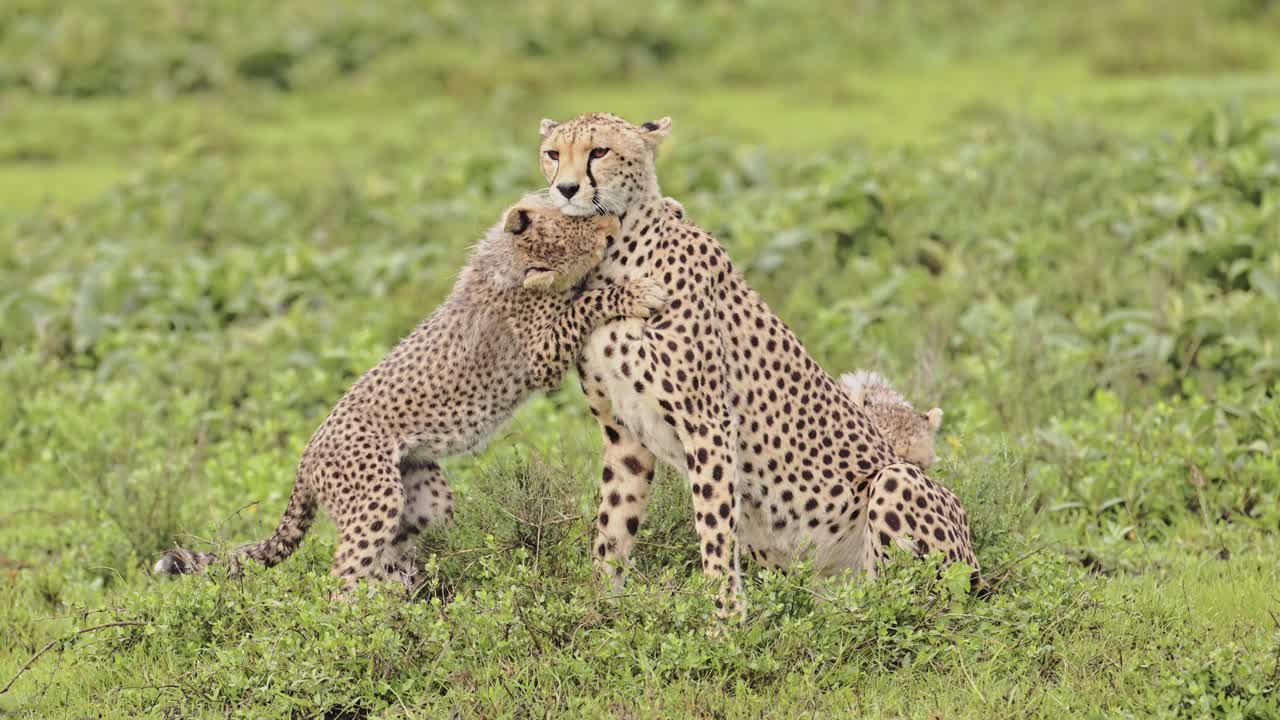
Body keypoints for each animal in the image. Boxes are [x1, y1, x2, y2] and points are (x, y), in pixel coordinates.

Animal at [154, 195, 667, 589]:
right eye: (587, 232)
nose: (612, 222)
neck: (509, 264)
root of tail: (306, 455)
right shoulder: (540, 357)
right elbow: (585, 303)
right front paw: (635, 292)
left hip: (424, 496)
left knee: (392, 551)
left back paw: (409, 598)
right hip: (373, 498)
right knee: (343, 574)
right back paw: (357, 625)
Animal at [536, 112, 978, 617]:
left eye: (599, 152)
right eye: (552, 154)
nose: (566, 189)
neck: (615, 259)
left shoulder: (708, 422)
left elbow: (713, 529)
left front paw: (725, 620)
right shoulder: (624, 434)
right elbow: (612, 526)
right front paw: (598, 608)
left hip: (898, 484)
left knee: (902, 603)